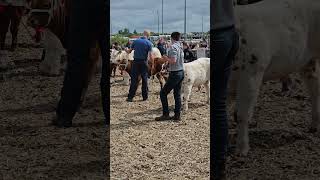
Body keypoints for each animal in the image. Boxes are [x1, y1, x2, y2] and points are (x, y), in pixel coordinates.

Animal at [230, 0, 320, 155]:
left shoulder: (252, 70)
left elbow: (241, 114)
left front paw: (241, 150)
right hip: (307, 59)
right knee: (313, 86)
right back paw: (313, 128)